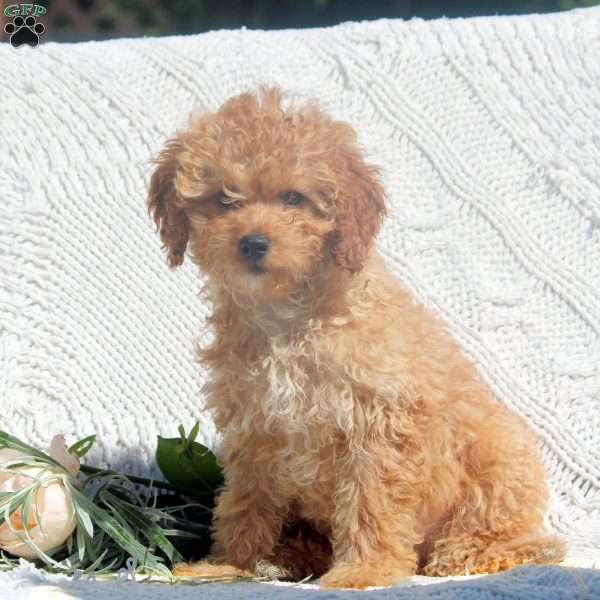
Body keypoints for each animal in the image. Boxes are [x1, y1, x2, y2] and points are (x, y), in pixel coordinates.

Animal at [148, 86, 564, 588]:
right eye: (224, 199)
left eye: (293, 198)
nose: (253, 243)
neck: (286, 318)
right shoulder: (255, 427)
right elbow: (245, 500)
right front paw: (233, 563)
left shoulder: (377, 423)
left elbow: (371, 501)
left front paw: (366, 570)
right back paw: (291, 557)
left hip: (500, 451)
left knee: (526, 538)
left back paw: (464, 552)